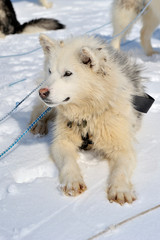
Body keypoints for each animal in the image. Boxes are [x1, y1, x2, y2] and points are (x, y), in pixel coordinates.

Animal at [29, 33, 152, 204]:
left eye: (67, 73)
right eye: (50, 71)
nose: (42, 92)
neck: (88, 115)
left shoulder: (123, 148)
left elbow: (120, 170)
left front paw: (120, 189)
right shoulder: (62, 143)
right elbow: (68, 162)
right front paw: (72, 181)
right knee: (39, 110)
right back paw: (38, 125)